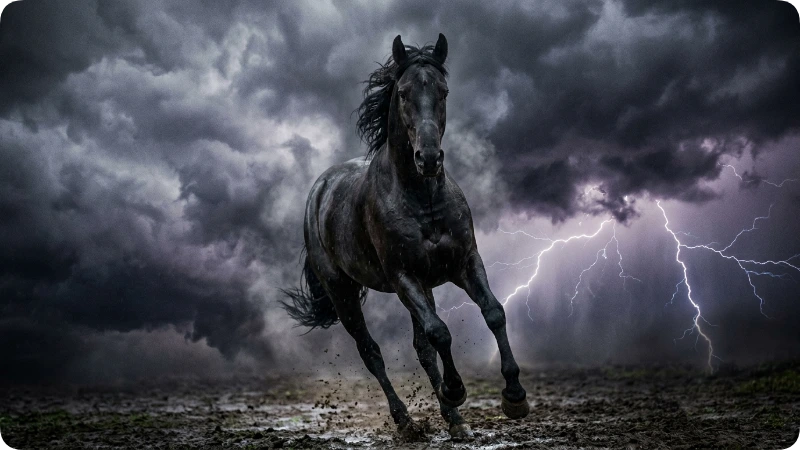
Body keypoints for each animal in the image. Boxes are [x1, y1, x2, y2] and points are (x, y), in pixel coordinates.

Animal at [281, 33, 529, 439]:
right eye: (402, 93)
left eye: (443, 91)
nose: (428, 158)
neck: (422, 197)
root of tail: (319, 190)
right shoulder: (403, 278)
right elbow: (440, 332)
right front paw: (456, 390)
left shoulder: (464, 262)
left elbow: (493, 313)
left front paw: (514, 397)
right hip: (342, 292)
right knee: (372, 352)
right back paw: (407, 421)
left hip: (421, 286)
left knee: (421, 346)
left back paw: (454, 420)